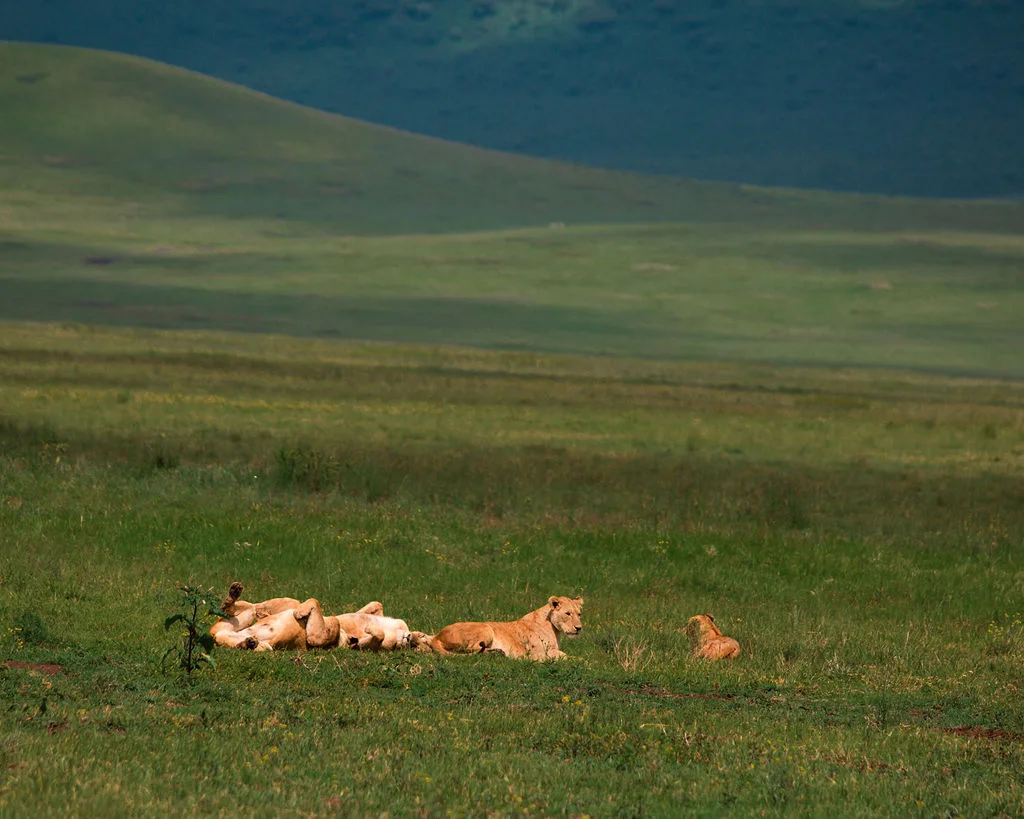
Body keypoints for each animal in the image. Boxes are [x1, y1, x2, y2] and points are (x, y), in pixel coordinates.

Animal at [412, 596, 583, 661]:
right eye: (568, 613)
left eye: (579, 614)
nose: (579, 628)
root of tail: (438, 636)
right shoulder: (539, 653)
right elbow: (567, 657)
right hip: (486, 627)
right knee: (470, 649)